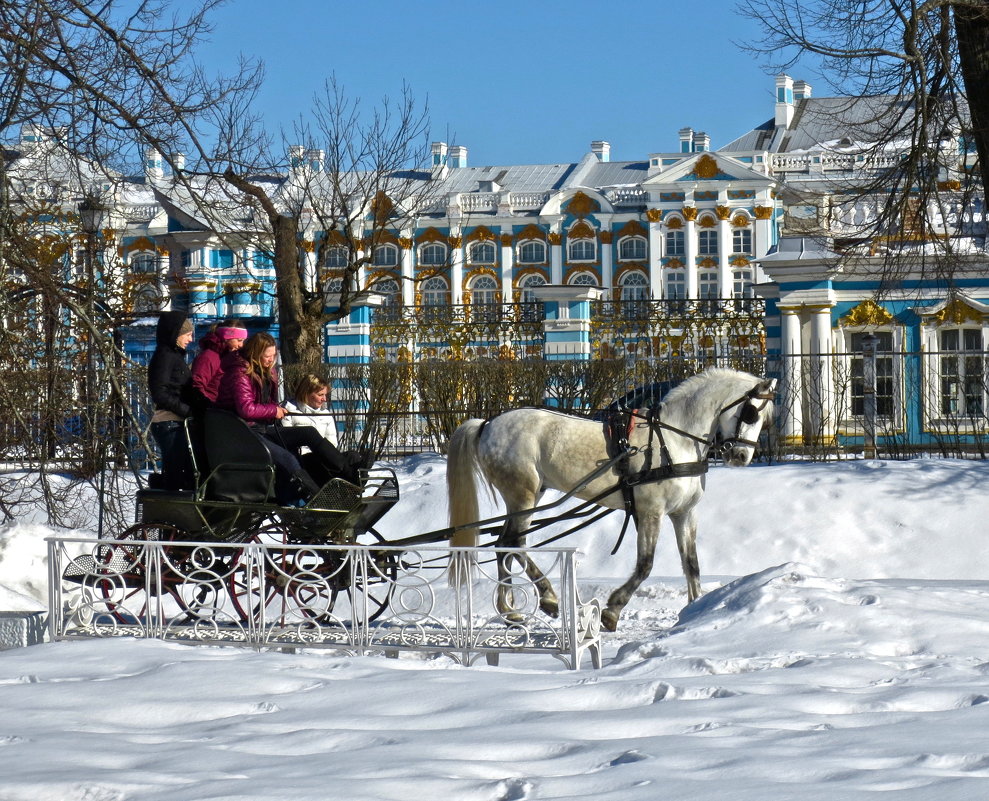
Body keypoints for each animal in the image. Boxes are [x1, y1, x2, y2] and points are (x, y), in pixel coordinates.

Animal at [444, 368, 776, 632]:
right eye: (751, 413)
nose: (741, 456)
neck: (675, 440)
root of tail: (487, 424)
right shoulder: (651, 512)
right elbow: (645, 564)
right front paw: (612, 610)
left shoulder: (684, 513)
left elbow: (691, 564)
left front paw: (694, 612)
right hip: (522, 494)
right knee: (513, 543)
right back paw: (546, 598)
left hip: (527, 497)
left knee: (505, 544)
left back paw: (511, 610)